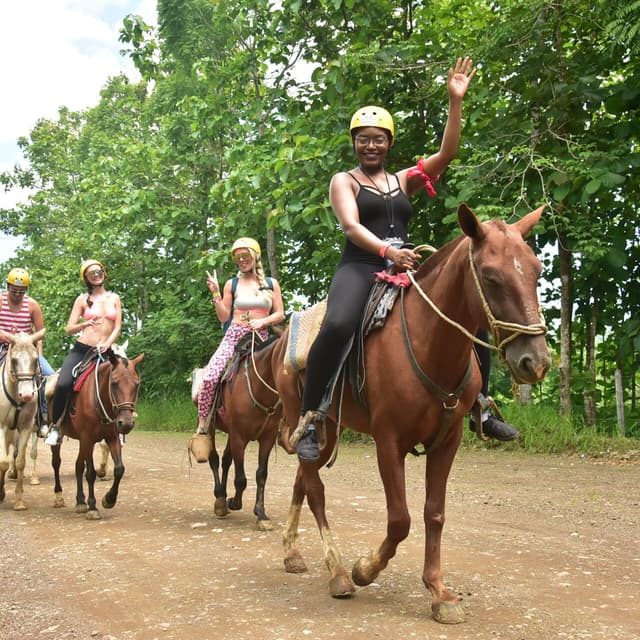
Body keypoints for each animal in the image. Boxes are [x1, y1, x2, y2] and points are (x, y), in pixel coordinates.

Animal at [0, 330, 45, 510]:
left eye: (35, 359)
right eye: (14, 360)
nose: (26, 395)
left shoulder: (26, 427)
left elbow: (20, 461)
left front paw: (19, 501)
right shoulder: (2, 426)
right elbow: (3, 461)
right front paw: (0, 493)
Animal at [48, 348, 143, 516]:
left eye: (137, 384)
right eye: (114, 383)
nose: (126, 423)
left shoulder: (111, 437)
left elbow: (119, 469)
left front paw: (109, 499)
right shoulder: (88, 437)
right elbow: (91, 473)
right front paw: (93, 507)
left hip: (84, 441)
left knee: (78, 465)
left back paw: (80, 501)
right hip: (65, 438)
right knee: (56, 463)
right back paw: (59, 497)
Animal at [202, 332, 282, 532]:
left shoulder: (268, 438)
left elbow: (261, 474)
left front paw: (261, 514)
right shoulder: (239, 437)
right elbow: (241, 479)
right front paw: (234, 502)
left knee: (225, 460)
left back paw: (223, 496)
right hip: (212, 426)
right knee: (214, 459)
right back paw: (220, 499)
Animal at [270, 204, 552, 624]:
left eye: (536, 270)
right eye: (490, 276)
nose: (536, 361)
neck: (427, 342)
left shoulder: (448, 441)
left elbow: (434, 513)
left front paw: (439, 593)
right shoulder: (389, 441)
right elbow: (400, 519)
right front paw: (366, 568)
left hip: (327, 430)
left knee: (302, 482)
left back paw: (292, 551)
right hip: (302, 421)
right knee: (315, 490)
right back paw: (338, 572)